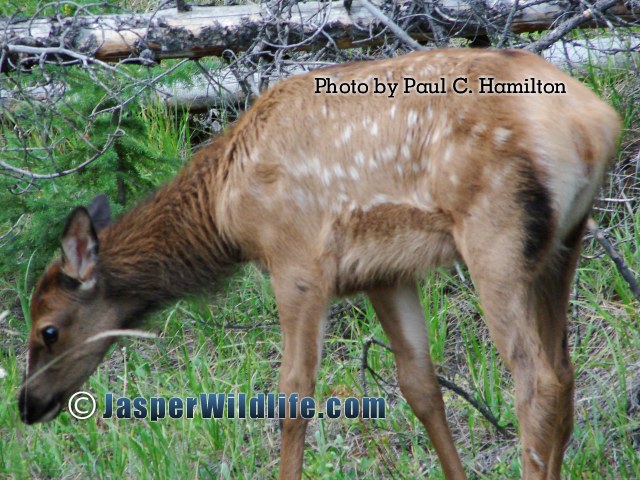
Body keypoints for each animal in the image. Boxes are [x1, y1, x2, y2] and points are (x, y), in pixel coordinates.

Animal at [18, 48, 621, 479]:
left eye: (47, 329)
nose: (26, 405)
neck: (225, 210)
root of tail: (596, 124)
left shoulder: (296, 258)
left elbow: (293, 394)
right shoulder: (384, 272)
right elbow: (420, 386)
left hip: (496, 236)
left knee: (536, 383)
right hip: (564, 244)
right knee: (564, 375)